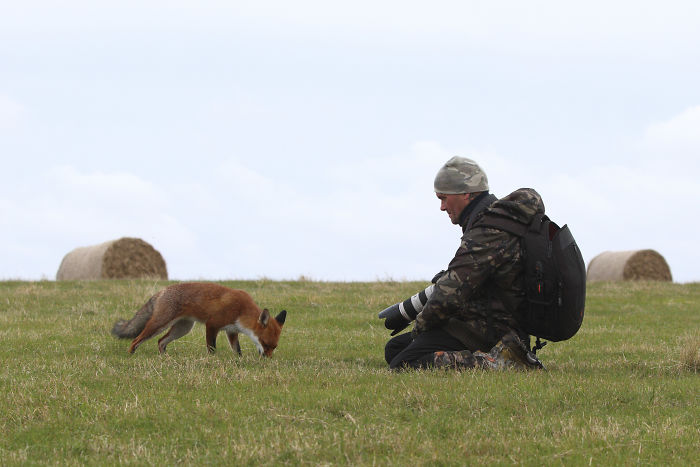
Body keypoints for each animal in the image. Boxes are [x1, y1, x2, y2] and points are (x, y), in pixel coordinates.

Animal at [111, 282, 287, 357]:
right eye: (265, 344)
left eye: (274, 347)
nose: (266, 359)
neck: (241, 310)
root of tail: (162, 291)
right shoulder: (212, 324)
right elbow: (212, 348)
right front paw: (212, 361)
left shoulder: (231, 331)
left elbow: (237, 351)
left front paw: (239, 361)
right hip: (159, 324)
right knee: (136, 339)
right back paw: (131, 355)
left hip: (182, 329)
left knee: (160, 341)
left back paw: (164, 358)